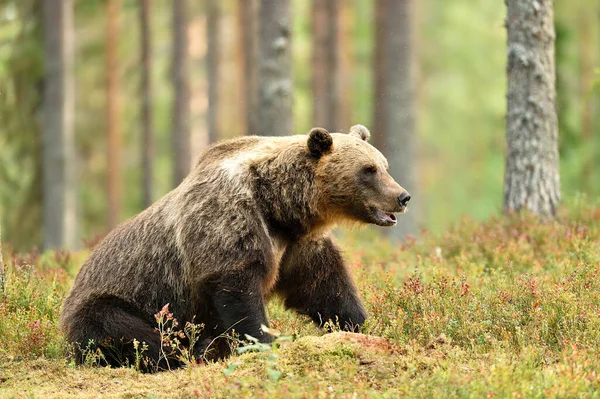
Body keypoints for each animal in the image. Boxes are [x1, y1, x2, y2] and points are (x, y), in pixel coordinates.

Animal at [61, 126, 410, 372]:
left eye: (384, 165)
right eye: (368, 170)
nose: (402, 196)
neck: (278, 205)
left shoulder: (294, 244)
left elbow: (322, 284)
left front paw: (356, 324)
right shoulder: (229, 220)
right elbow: (237, 288)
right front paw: (267, 341)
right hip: (112, 299)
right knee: (124, 331)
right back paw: (186, 353)